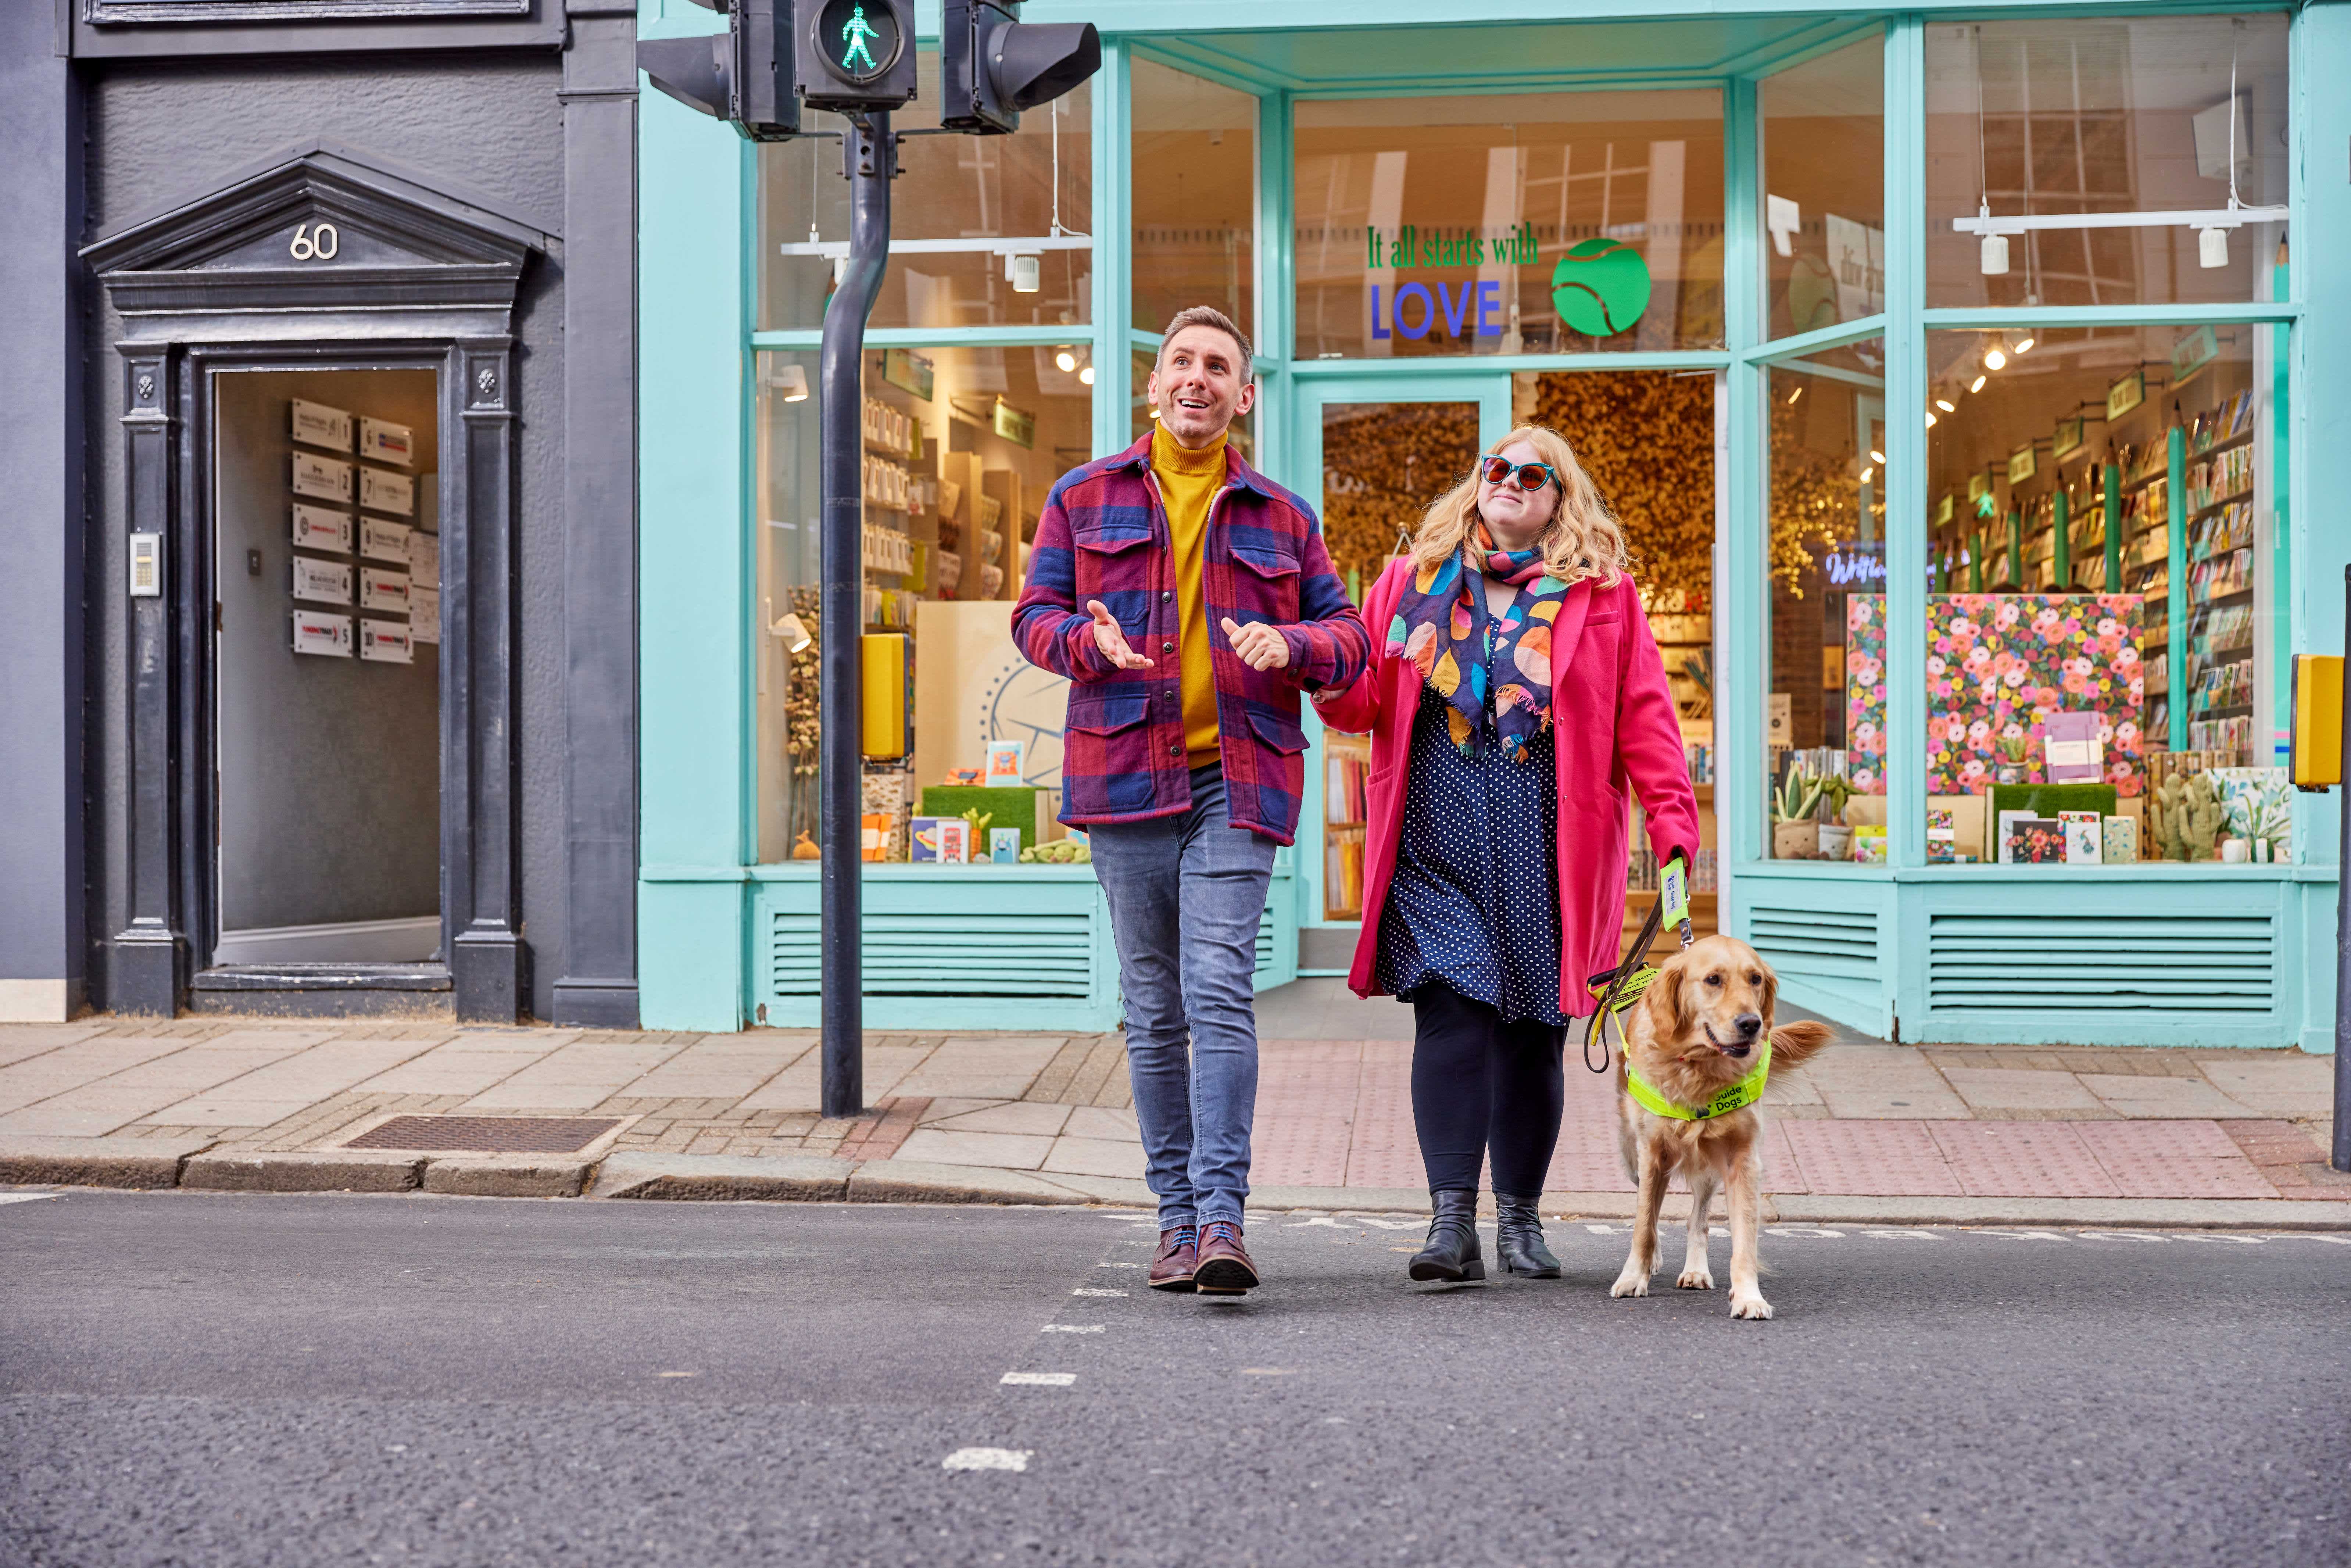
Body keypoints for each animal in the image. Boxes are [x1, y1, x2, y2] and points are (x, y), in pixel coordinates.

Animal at [1617, 940, 1833, 1316]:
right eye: (1713, 980)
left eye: (1756, 979)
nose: (1751, 1023)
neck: (1701, 1069)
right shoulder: (1652, 1154)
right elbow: (1644, 1224)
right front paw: (1634, 1277)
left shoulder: (1742, 1159)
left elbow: (1744, 1239)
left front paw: (1749, 1296)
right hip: (1635, 1159)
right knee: (1651, 1213)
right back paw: (1653, 1261)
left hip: (1706, 1169)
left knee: (1698, 1220)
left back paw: (1695, 1270)